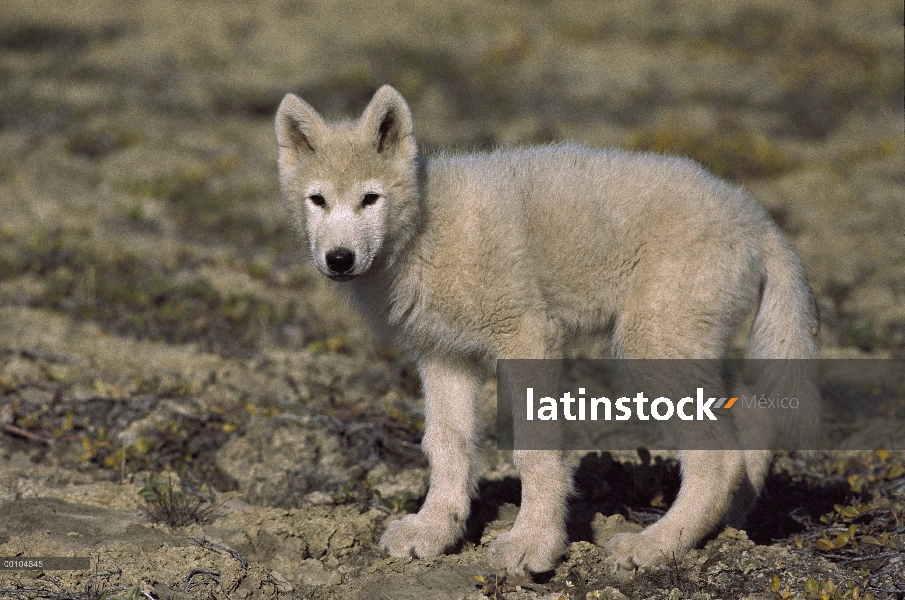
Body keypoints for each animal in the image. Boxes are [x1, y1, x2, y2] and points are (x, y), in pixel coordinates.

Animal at [272, 83, 816, 572]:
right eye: (318, 200)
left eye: (370, 199)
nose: (339, 259)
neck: (425, 233)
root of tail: (757, 219)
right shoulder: (445, 356)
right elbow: (447, 446)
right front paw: (433, 532)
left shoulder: (527, 337)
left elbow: (535, 451)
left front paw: (532, 544)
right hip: (691, 349)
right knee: (753, 424)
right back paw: (726, 531)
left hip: (651, 348)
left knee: (717, 460)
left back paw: (655, 546)